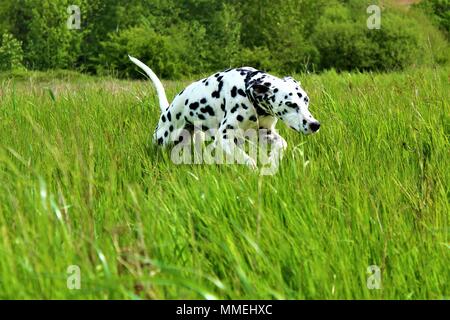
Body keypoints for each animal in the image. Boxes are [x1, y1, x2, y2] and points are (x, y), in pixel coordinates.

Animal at [128, 56, 322, 169]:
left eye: (306, 100)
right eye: (290, 104)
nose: (315, 125)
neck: (247, 90)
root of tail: (168, 109)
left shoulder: (264, 132)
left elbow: (282, 144)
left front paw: (274, 158)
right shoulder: (224, 138)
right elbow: (248, 161)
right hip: (165, 139)